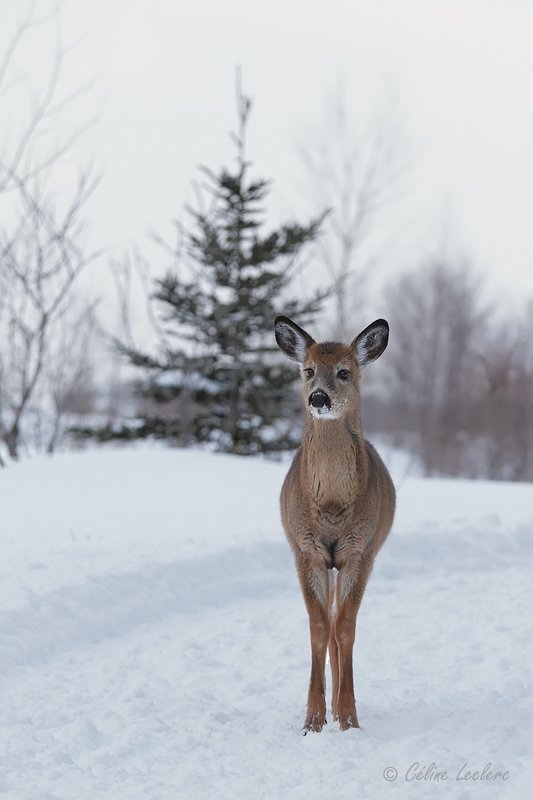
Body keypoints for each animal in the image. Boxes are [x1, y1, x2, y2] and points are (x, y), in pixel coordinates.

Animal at [274, 316, 394, 736]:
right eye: (308, 370)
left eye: (344, 372)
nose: (319, 398)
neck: (330, 506)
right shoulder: (305, 549)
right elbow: (319, 627)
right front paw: (312, 719)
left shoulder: (360, 550)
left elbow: (344, 629)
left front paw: (349, 718)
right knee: (328, 623)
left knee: (342, 623)